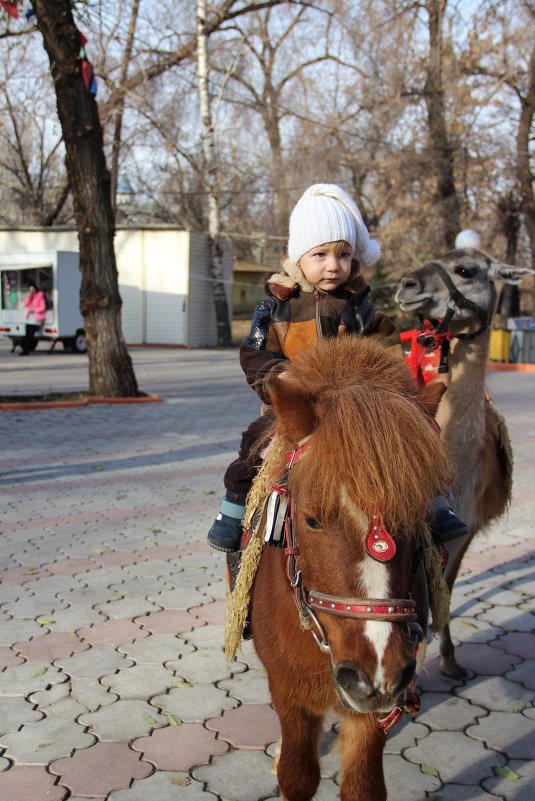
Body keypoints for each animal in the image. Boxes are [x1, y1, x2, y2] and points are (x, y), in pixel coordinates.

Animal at [249, 336, 450, 800]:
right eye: (311, 519)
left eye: (419, 515)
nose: (375, 675)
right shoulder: (289, 693)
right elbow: (297, 776)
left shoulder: (372, 712)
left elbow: (363, 787)